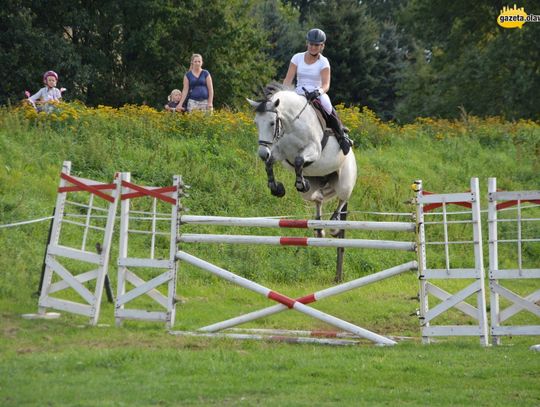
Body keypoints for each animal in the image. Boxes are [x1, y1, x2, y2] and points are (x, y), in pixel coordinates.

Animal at [247, 83, 356, 233]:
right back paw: (318, 226)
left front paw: (300, 184)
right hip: (315, 188)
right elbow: (269, 163)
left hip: (345, 182)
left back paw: (334, 222)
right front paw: (276, 188)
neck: (291, 125)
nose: (263, 153)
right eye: (256, 123)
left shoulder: (314, 150)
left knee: (343, 199)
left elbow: (299, 160)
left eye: (272, 123)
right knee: (318, 199)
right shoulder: (280, 152)